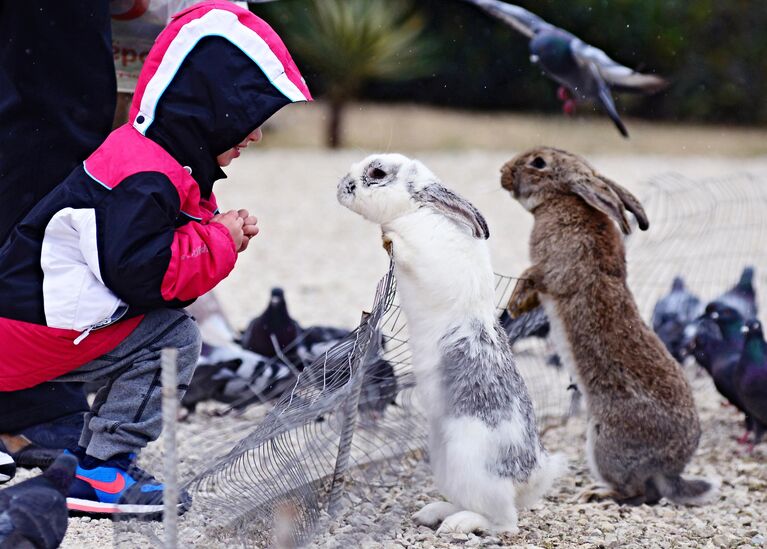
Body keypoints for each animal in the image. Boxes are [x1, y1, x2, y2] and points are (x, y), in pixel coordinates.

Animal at [336, 152, 564, 532]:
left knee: (503, 522)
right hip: (445, 463)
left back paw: (458, 525)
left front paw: (389, 238)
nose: (342, 187)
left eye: (378, 173)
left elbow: (405, 250)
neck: (417, 211)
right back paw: (433, 513)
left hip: (470, 464)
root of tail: (530, 477)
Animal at [500, 147, 716, 506]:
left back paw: (595, 493)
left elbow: (530, 277)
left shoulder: (549, 271)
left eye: (538, 163)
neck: (562, 199)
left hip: (605, 444)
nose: (504, 172)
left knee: (634, 490)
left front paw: (515, 305)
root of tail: (670, 466)